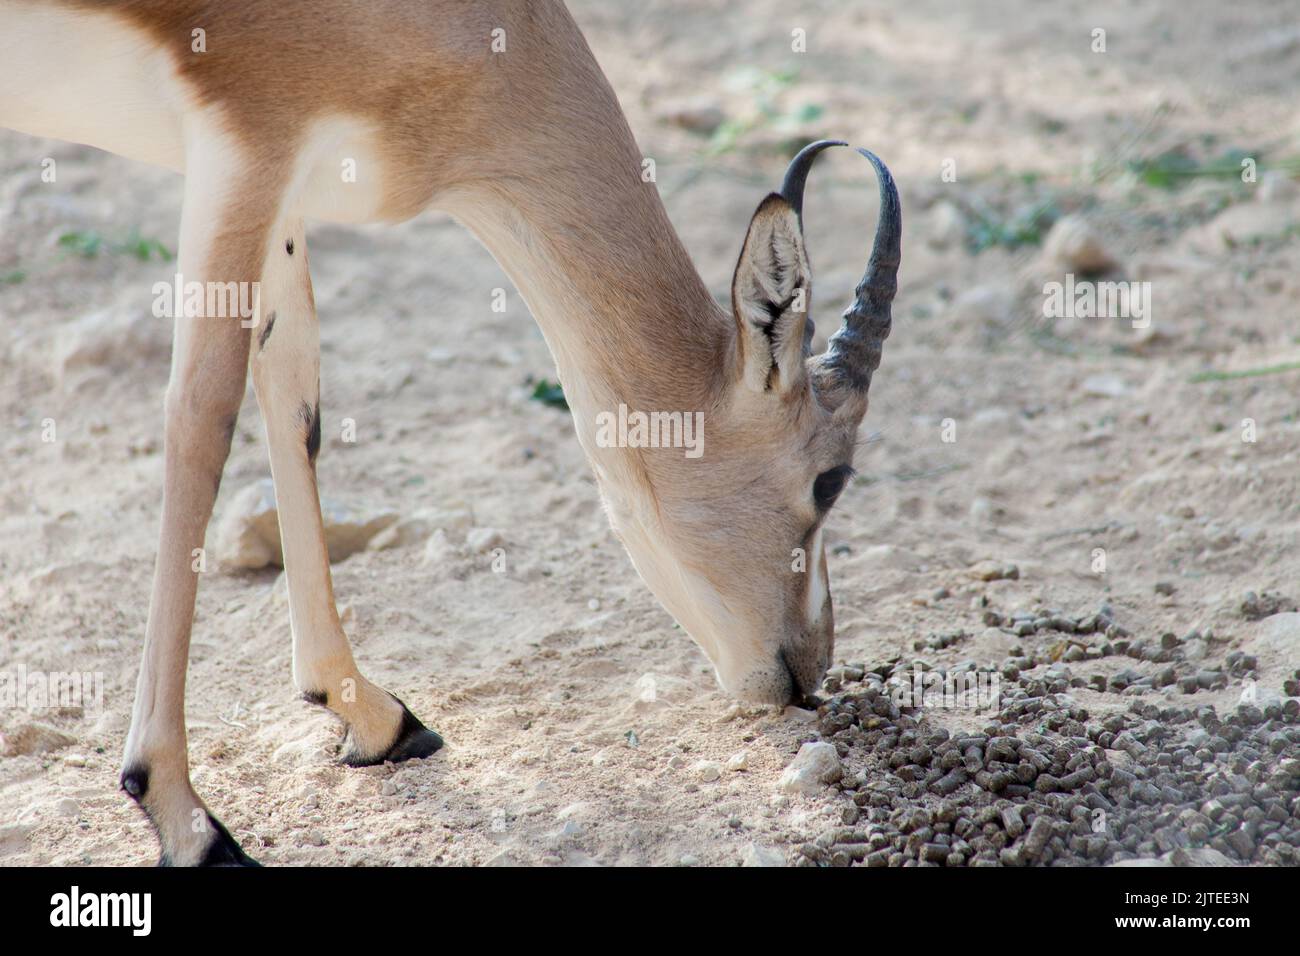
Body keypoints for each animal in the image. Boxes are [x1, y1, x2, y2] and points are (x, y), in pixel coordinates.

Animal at [0, 0, 900, 865]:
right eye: (829, 479)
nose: (809, 669)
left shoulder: (289, 185)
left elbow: (294, 396)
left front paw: (375, 717)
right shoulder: (246, 148)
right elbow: (200, 419)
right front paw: (184, 819)